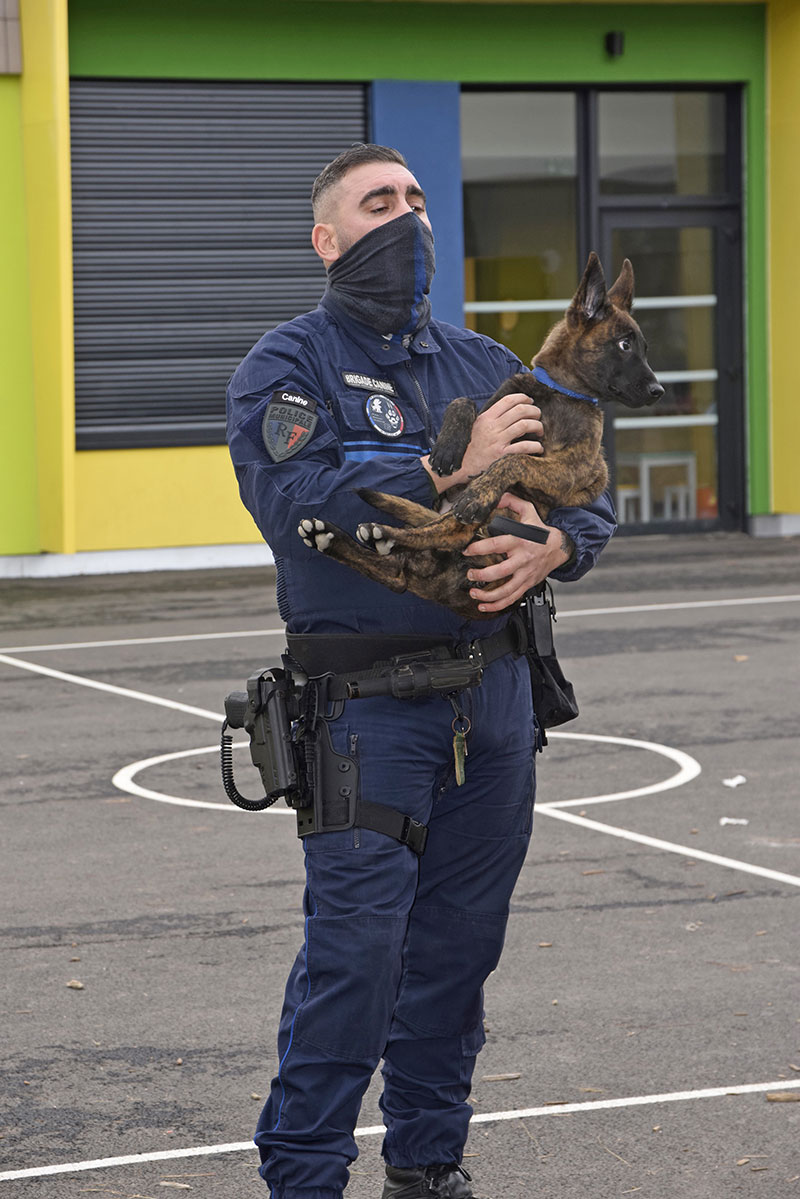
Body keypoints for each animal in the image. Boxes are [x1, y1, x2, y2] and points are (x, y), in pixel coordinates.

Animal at [299, 249, 662, 618]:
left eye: (643, 348)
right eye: (624, 345)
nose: (658, 391)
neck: (560, 392)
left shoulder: (577, 468)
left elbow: (513, 459)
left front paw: (478, 491)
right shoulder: (499, 405)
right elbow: (465, 403)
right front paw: (448, 447)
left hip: (487, 522)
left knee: (444, 536)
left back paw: (381, 533)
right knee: (405, 564)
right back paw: (339, 536)